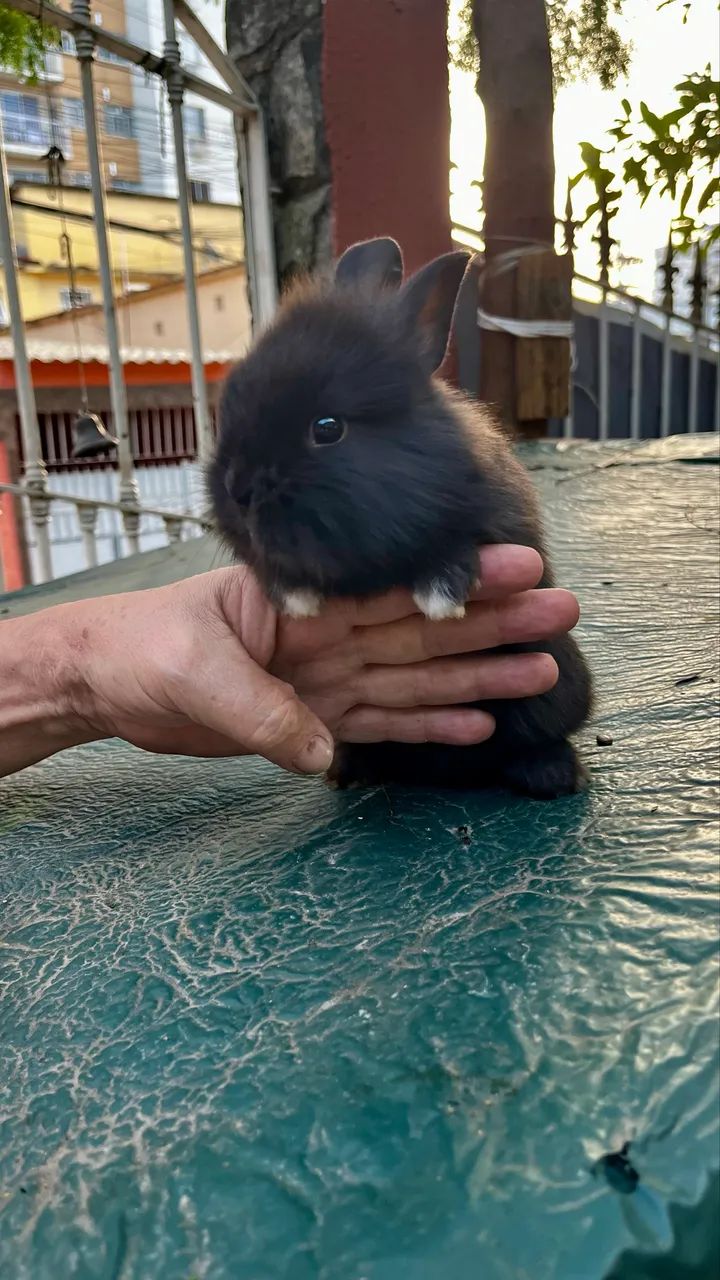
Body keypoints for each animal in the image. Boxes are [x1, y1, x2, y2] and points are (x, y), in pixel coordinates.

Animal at [209, 237, 593, 799]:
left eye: (327, 428)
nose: (237, 491)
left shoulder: (499, 528)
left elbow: (456, 546)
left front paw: (441, 595)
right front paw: (296, 598)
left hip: (555, 686)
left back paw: (553, 775)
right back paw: (348, 772)